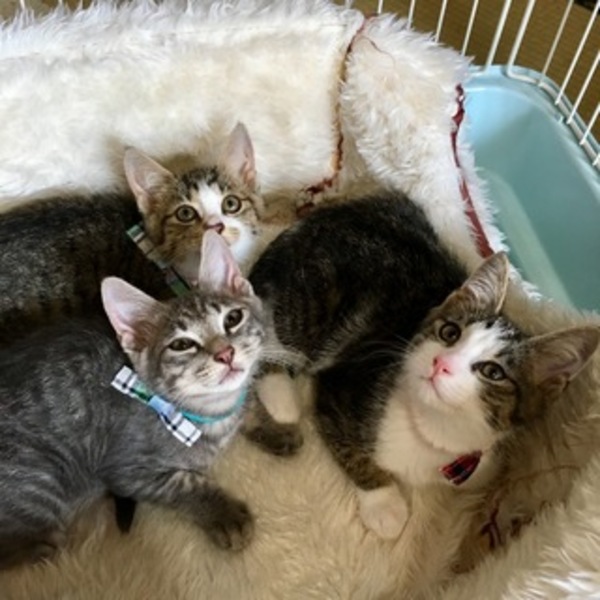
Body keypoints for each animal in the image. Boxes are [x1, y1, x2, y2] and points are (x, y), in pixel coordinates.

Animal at [0, 231, 265, 569]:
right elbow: (183, 485)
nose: (225, 353)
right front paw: (226, 515)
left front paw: (278, 428)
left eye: (233, 318)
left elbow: (251, 403)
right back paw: (42, 548)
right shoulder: (126, 471)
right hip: (43, 480)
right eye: (182, 345)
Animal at [247, 193, 600, 539]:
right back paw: (281, 397)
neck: (430, 429)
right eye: (450, 333)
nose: (441, 363)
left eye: (493, 372)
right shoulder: (339, 389)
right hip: (315, 298)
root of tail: (310, 223)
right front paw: (384, 504)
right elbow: (351, 452)